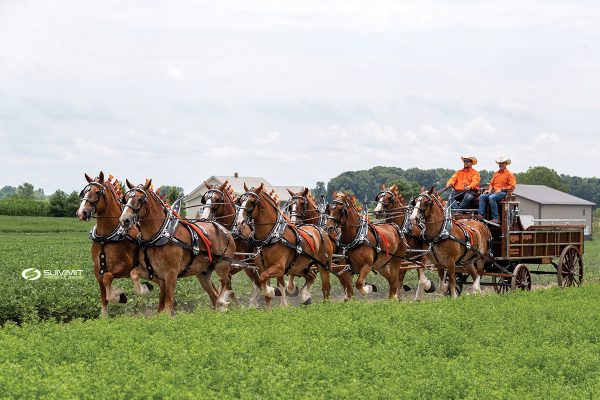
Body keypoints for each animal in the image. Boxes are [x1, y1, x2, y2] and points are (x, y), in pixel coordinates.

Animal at [76, 172, 152, 316]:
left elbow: (107, 281)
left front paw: (119, 296)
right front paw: (104, 316)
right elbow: (103, 297)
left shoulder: (124, 268)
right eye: (84, 191)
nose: (81, 213)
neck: (105, 238)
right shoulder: (98, 270)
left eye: (97, 192)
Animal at [119, 178, 237, 312]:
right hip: (203, 273)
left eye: (140, 199)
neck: (160, 235)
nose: (124, 219)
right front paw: (143, 290)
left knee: (226, 281)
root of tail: (225, 230)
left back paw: (223, 302)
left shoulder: (171, 274)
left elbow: (168, 303)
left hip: (222, 265)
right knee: (213, 294)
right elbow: (133, 274)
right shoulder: (152, 272)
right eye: (126, 198)